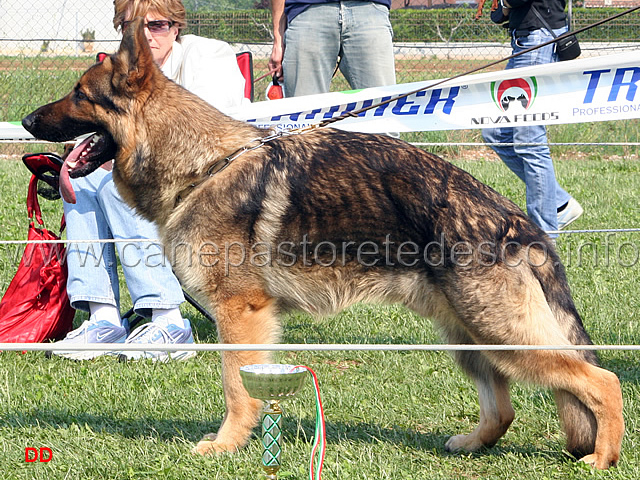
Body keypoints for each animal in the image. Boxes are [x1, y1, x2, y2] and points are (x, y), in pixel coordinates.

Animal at [22, 18, 624, 468]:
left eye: (79, 94)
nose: (25, 119)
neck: (203, 164)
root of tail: (513, 218)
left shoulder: (240, 315)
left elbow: (236, 387)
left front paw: (226, 445)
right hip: (470, 336)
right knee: (503, 408)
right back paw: (474, 443)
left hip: (503, 333)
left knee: (603, 379)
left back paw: (602, 457)